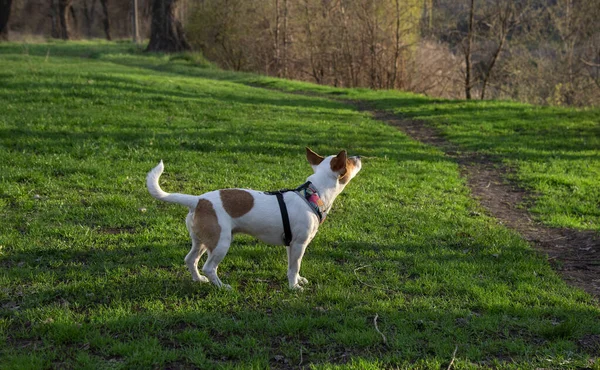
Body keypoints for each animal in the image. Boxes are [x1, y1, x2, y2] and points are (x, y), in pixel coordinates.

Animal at [145, 147, 360, 290]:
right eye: (350, 161)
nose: (358, 156)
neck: (313, 194)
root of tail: (198, 200)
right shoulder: (299, 244)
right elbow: (294, 267)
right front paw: (294, 287)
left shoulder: (291, 245)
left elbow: (292, 266)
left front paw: (298, 280)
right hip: (221, 243)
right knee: (209, 267)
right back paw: (222, 287)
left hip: (203, 241)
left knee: (190, 260)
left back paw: (198, 280)